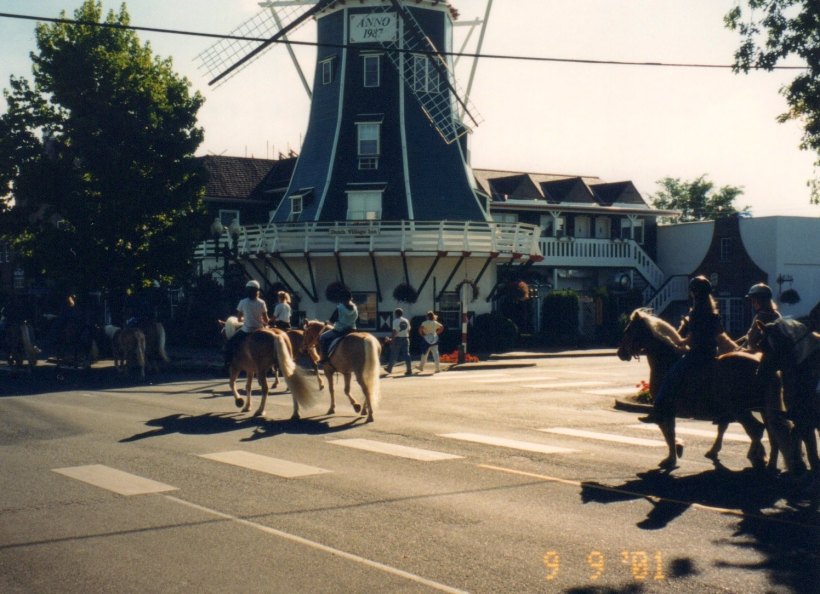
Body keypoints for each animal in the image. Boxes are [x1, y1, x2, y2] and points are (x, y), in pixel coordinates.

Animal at [617, 309, 769, 471]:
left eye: (628, 330)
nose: (620, 353)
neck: (667, 360)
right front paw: (680, 449)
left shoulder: (664, 409)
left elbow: (668, 432)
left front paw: (671, 457)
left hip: (739, 409)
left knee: (756, 429)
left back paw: (756, 456)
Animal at [752, 318, 820, 475]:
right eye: (760, 346)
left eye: (772, 348)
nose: (759, 374)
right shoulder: (801, 417)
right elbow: (805, 440)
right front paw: (800, 465)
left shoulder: (805, 417)